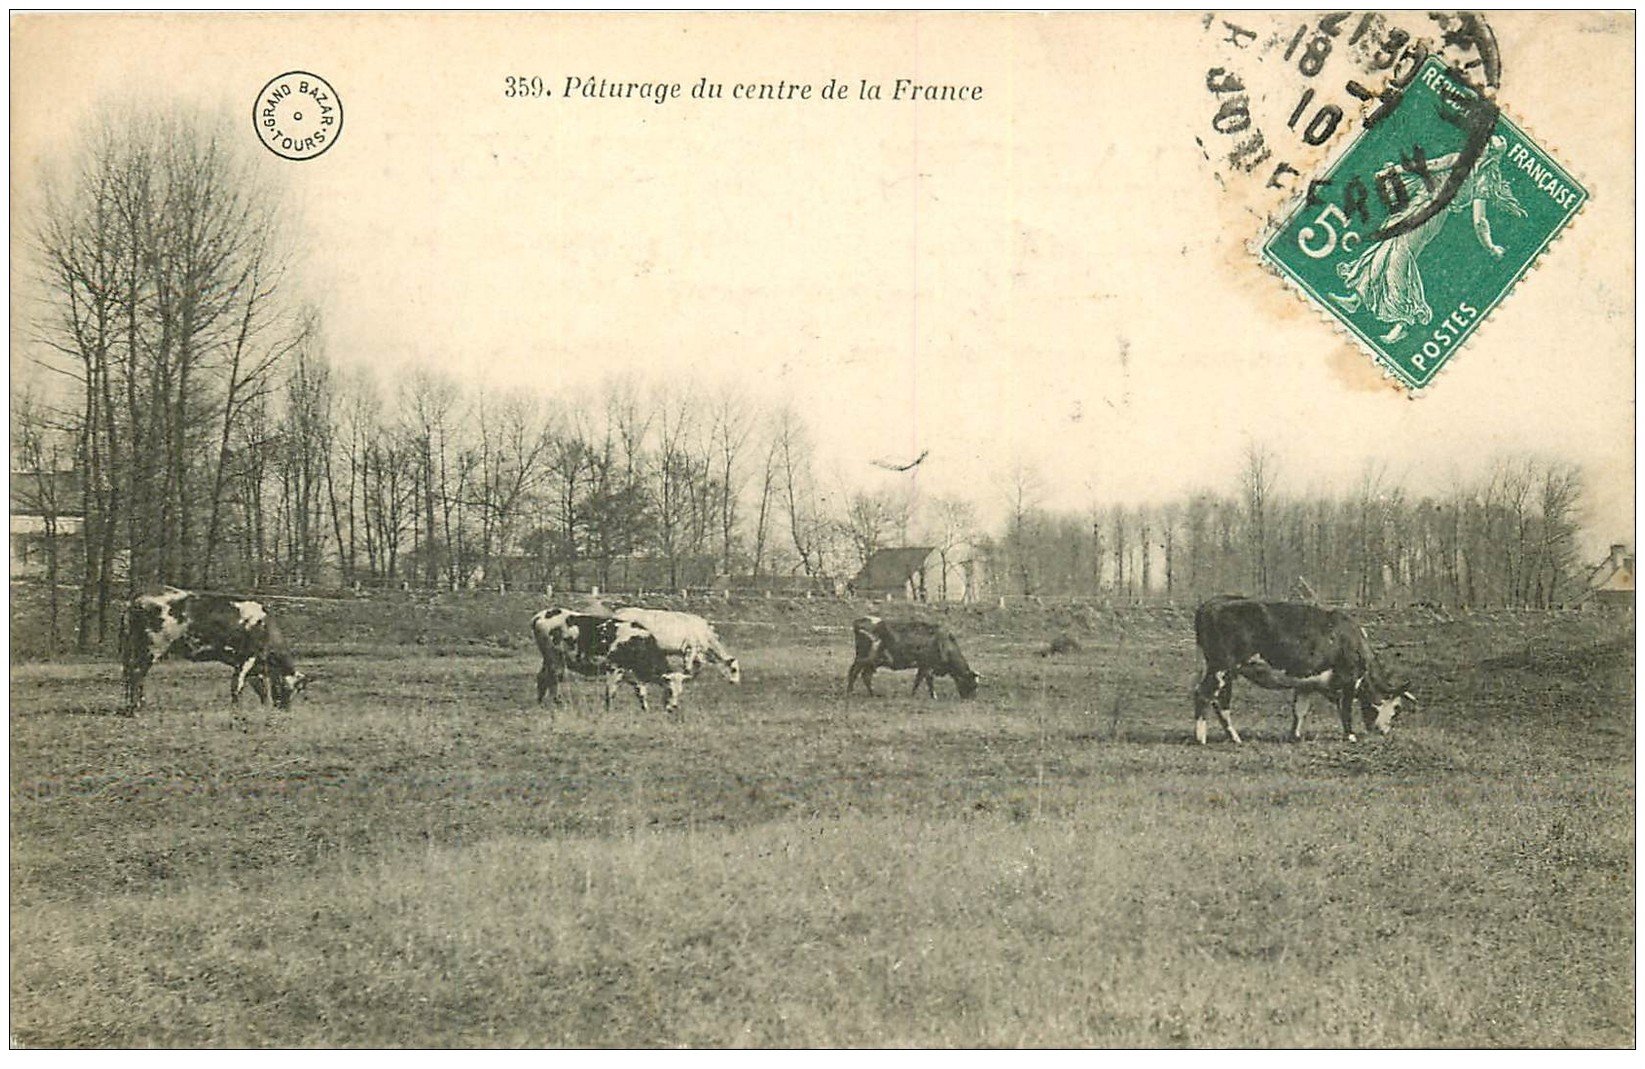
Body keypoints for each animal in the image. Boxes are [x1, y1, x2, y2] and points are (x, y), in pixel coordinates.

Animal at [120, 585, 309, 710]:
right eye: (291, 688)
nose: (285, 709)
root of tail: (139, 596)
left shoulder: (256, 666)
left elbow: (261, 688)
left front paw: (264, 708)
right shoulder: (247, 657)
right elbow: (237, 685)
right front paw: (236, 709)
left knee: (131, 674)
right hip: (151, 647)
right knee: (137, 674)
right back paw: (137, 707)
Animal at [532, 611, 687, 710]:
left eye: (680, 692)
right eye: (669, 690)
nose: (673, 708)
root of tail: (540, 615)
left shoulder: (634, 675)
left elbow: (641, 693)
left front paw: (645, 709)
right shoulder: (613, 668)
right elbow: (611, 692)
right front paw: (609, 710)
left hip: (548, 659)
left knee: (542, 677)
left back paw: (540, 702)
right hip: (555, 658)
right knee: (553, 680)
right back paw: (557, 703)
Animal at [615, 605, 743, 677]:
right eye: (734, 670)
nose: (736, 684)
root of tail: (619, 611)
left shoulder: (693, 651)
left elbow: (698, 664)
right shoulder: (692, 648)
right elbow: (689, 665)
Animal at [1197, 592, 1414, 740]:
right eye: (1397, 708)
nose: (1385, 732)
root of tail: (1214, 602)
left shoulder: (1306, 684)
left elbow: (1300, 710)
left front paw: (1295, 735)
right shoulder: (1350, 680)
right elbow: (1345, 709)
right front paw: (1350, 736)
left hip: (1224, 671)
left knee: (1220, 701)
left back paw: (1233, 737)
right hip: (1221, 666)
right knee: (1203, 694)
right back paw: (1203, 738)